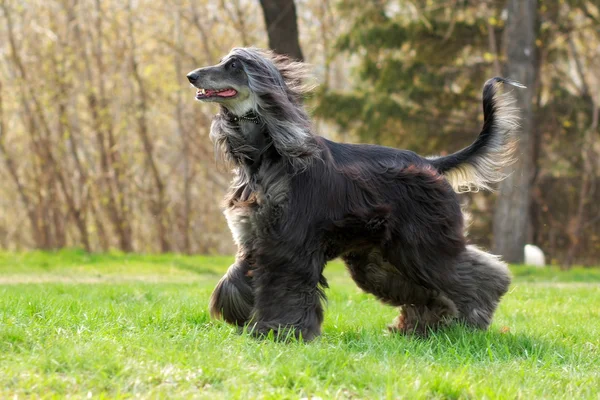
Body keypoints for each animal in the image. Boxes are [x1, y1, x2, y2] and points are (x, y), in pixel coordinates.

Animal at [185, 47, 516, 340]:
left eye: (234, 65)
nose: (191, 76)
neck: (269, 154)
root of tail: (430, 162)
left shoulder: (288, 244)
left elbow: (284, 287)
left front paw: (279, 331)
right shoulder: (254, 235)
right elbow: (237, 277)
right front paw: (240, 316)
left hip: (423, 243)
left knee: (481, 275)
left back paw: (473, 321)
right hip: (382, 257)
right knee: (424, 289)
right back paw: (419, 329)